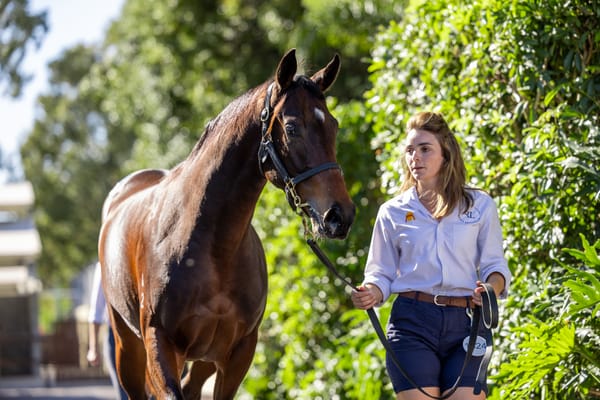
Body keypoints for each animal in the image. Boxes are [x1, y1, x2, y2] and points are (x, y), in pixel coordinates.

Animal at [96, 50, 354, 400]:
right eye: (291, 128)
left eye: (334, 125)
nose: (340, 215)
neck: (212, 247)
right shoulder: (160, 345)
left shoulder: (238, 352)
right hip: (130, 347)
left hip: (202, 358)